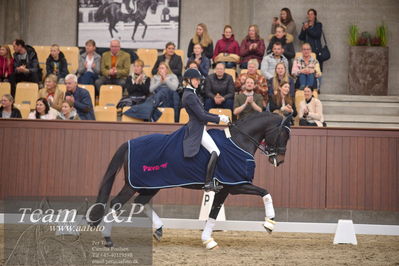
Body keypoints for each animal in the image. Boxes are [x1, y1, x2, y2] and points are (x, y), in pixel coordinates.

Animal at [90, 111, 290, 248]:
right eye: (284, 135)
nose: (280, 161)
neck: (239, 141)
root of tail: (129, 143)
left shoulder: (227, 188)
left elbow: (214, 213)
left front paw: (207, 240)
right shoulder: (235, 185)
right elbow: (264, 193)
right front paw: (269, 223)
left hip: (151, 184)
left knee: (140, 201)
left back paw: (159, 229)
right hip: (134, 184)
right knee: (117, 202)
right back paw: (108, 239)